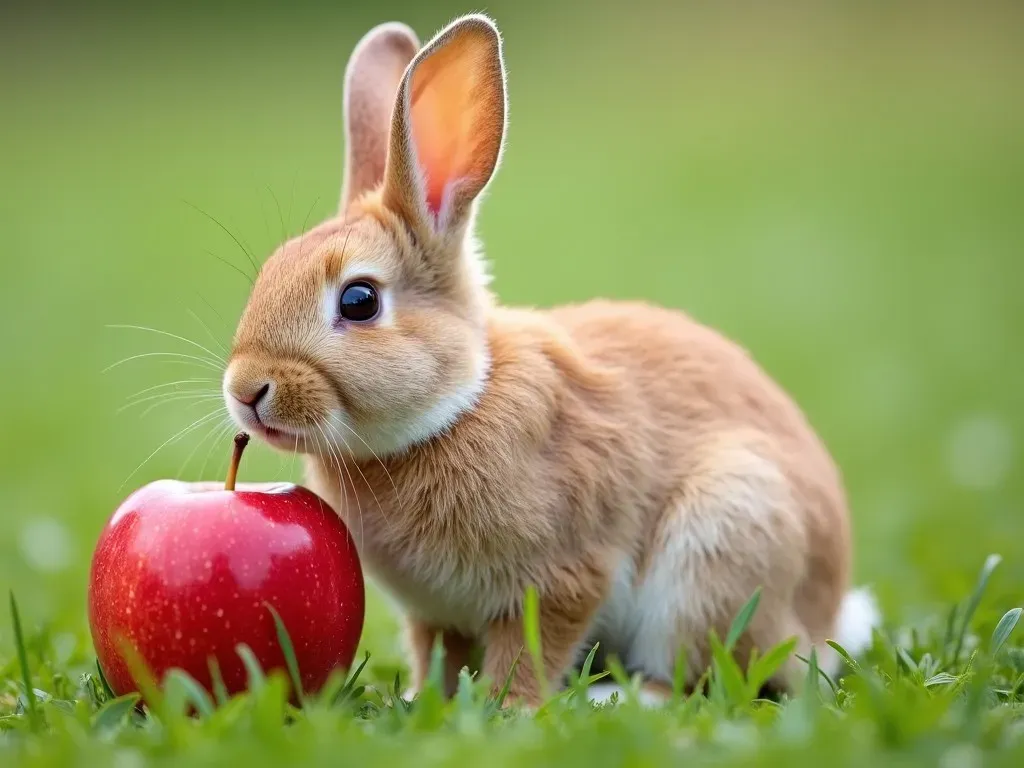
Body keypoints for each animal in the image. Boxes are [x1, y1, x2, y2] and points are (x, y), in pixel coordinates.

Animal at [224, 13, 880, 708]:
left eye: (359, 300)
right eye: (269, 271)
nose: (245, 390)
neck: (459, 406)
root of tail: (822, 619)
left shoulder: (564, 576)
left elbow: (531, 650)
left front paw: (508, 709)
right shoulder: (435, 615)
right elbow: (437, 654)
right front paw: (423, 701)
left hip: (723, 539)